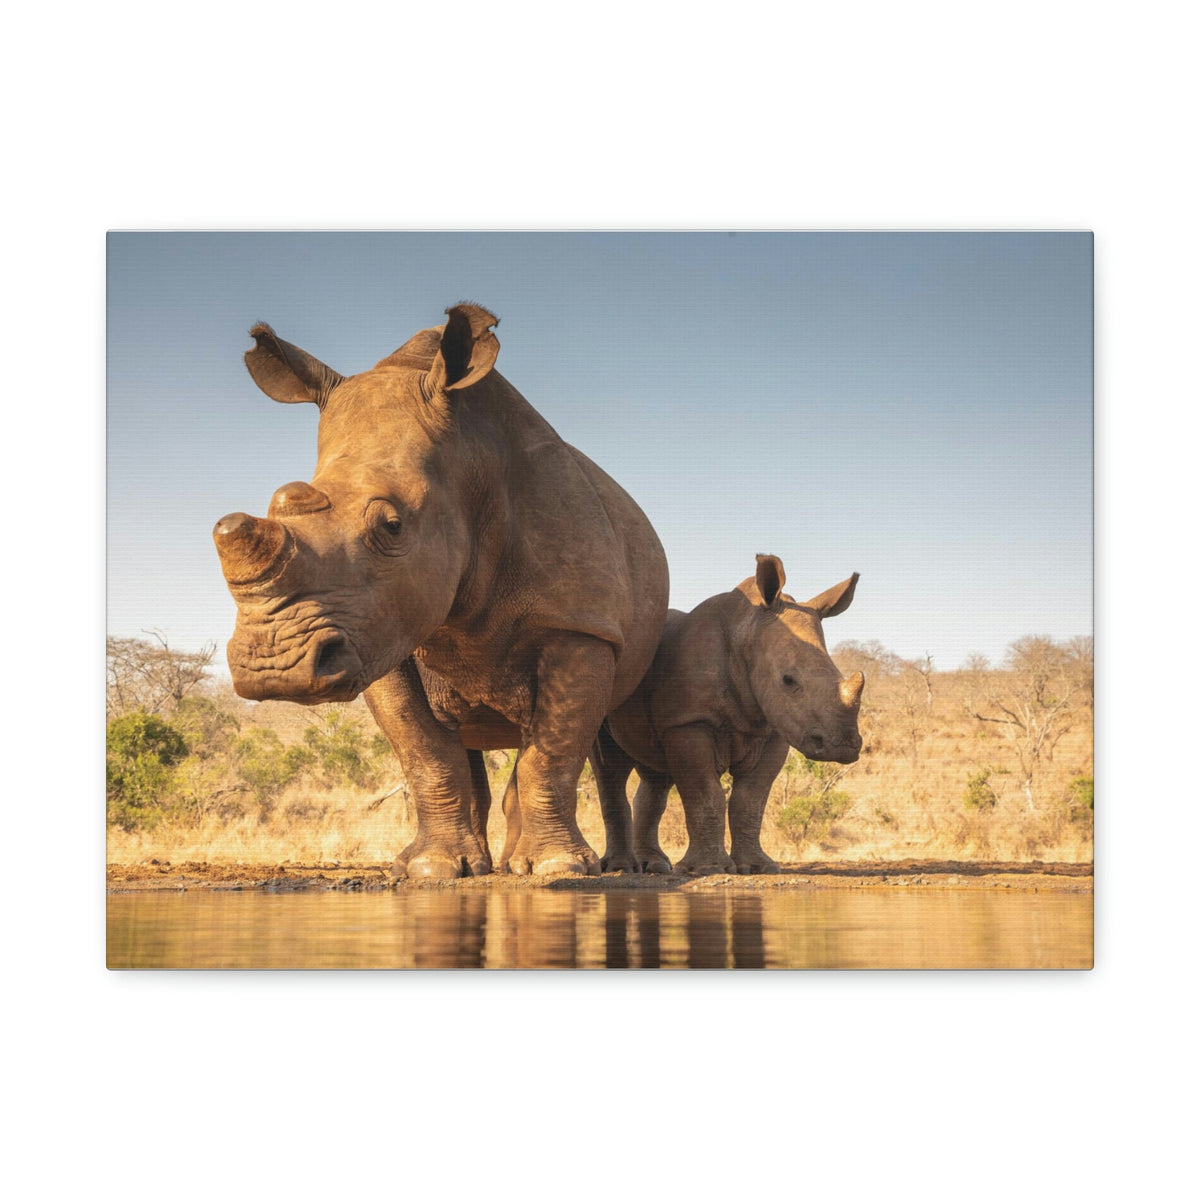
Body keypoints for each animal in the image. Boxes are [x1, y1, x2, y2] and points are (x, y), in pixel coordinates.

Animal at [213, 303, 669, 877]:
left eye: (391, 526)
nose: (274, 667)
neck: (469, 462)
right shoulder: (377, 633)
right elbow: (425, 753)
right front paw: (431, 869)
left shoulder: (581, 626)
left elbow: (553, 753)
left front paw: (557, 869)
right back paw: (486, 865)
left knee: (594, 750)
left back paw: (582, 867)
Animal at [591, 554, 864, 875]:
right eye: (788, 680)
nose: (843, 746)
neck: (745, 630)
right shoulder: (690, 722)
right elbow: (705, 794)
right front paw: (707, 869)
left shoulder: (773, 730)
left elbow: (751, 801)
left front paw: (758, 867)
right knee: (610, 767)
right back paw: (621, 868)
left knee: (655, 773)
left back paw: (655, 866)